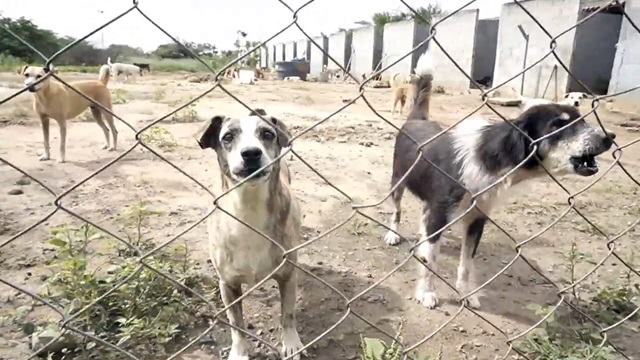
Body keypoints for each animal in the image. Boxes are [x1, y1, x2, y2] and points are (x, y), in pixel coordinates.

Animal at [195, 108, 304, 360]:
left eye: (267, 134)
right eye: (227, 137)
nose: (251, 153)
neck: (249, 209)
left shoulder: (287, 276)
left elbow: (288, 314)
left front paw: (291, 343)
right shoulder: (228, 285)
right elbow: (236, 324)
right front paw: (239, 351)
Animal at [382, 49, 616, 310]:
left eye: (583, 121)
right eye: (558, 125)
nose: (609, 137)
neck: (490, 158)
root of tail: (418, 119)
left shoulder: (477, 219)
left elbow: (466, 264)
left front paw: (467, 294)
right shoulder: (440, 214)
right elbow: (431, 261)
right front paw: (426, 292)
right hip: (398, 183)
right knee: (397, 210)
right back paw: (393, 234)